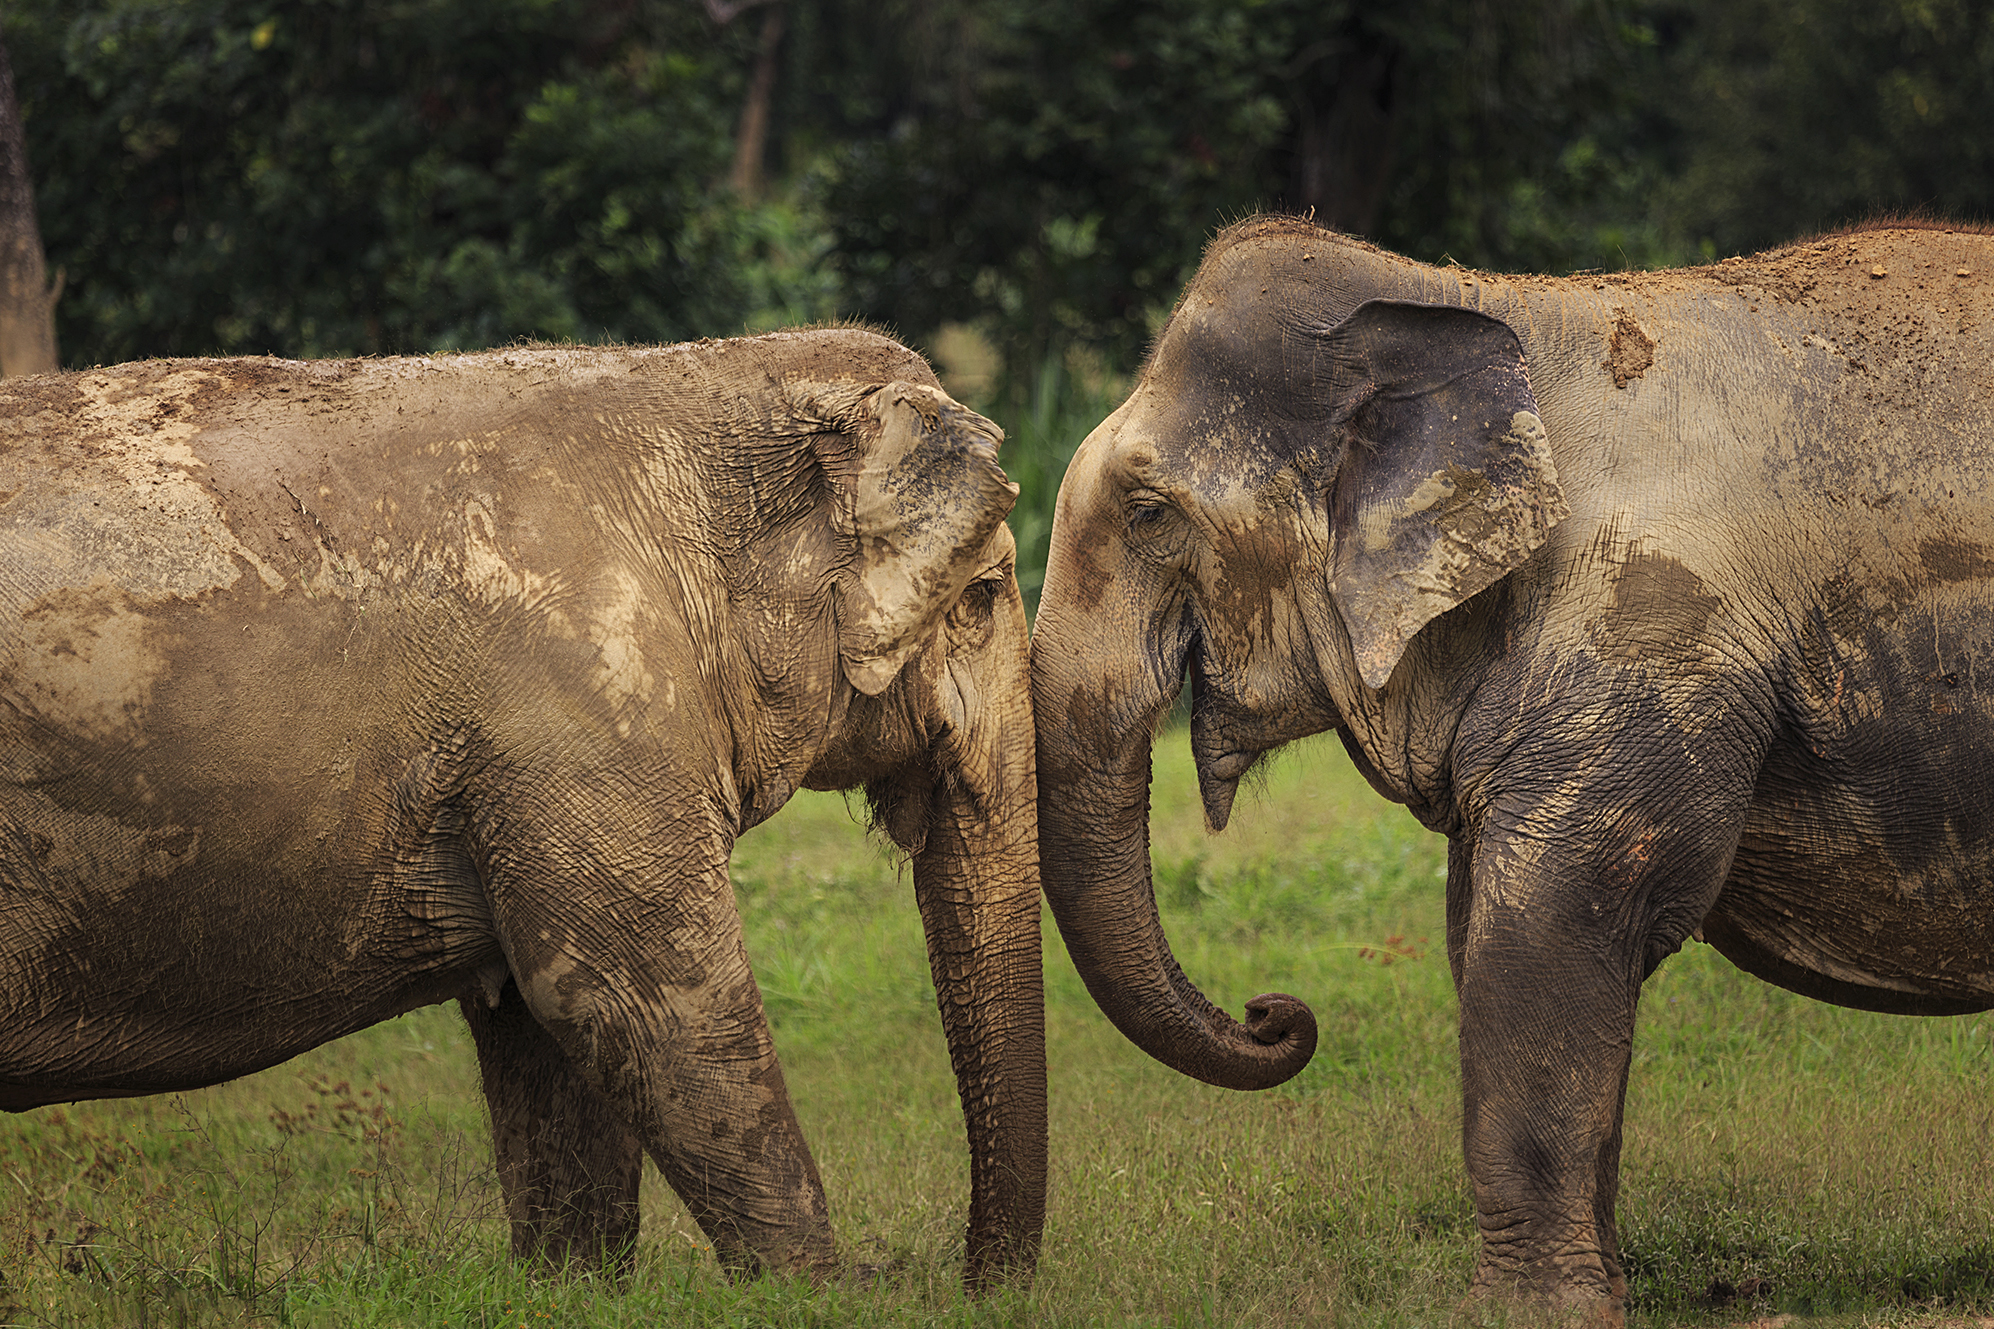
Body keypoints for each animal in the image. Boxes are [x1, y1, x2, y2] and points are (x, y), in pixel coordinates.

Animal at [0, 328, 1045, 1290]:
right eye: (985, 597)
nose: (970, 1284)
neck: (702, 373)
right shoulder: (582, 712)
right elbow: (640, 1001)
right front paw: (818, 1290)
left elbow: (544, 1020)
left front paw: (571, 1283)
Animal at [1030, 214, 1994, 1320]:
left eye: (1147, 511)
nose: (1273, 1011)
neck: (1486, 306)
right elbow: (1488, 927)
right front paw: (1595, 1296)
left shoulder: (1647, 633)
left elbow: (1538, 928)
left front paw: (1527, 1313)